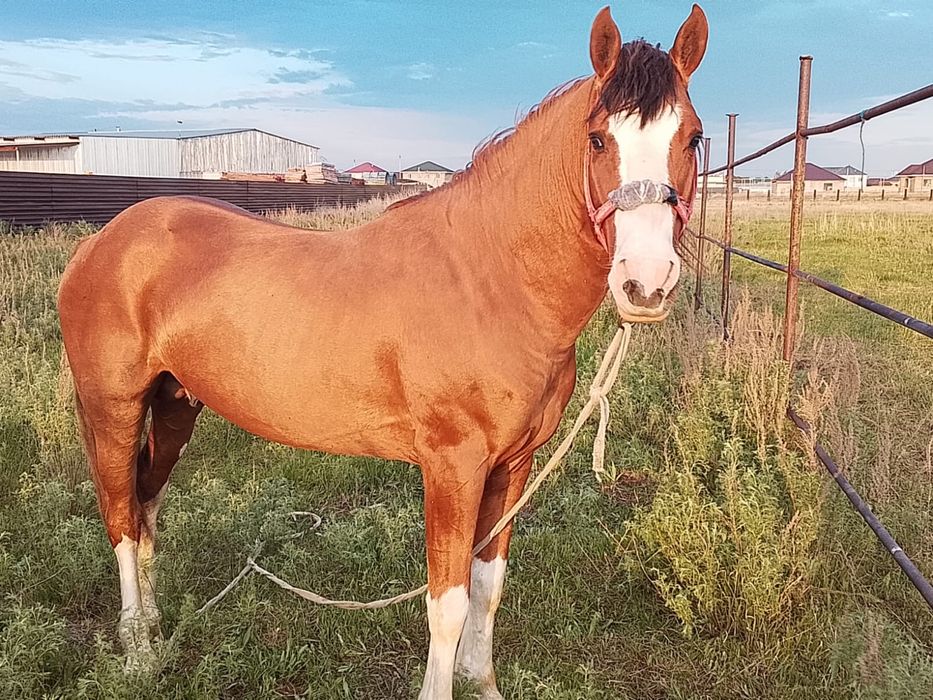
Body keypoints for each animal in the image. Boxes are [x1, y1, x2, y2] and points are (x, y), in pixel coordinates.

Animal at [57, 5, 707, 698]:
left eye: (693, 137)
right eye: (598, 139)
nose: (646, 283)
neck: (489, 280)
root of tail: (103, 242)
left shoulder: (513, 465)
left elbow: (488, 588)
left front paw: (483, 682)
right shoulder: (452, 467)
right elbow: (447, 602)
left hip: (177, 402)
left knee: (145, 507)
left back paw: (154, 630)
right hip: (114, 409)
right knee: (120, 515)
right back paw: (137, 650)